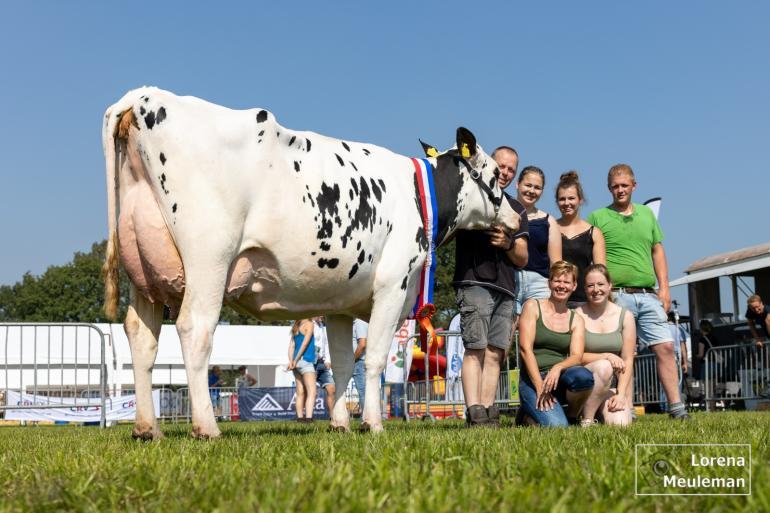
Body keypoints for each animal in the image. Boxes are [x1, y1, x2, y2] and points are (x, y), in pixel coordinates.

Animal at [102, 86, 516, 438]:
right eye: (497, 175)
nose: (517, 216)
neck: (418, 194)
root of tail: (145, 95)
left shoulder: (341, 304)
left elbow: (344, 363)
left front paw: (340, 423)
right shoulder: (393, 283)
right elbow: (374, 360)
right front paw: (372, 424)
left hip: (143, 268)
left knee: (141, 337)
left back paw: (146, 428)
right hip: (210, 258)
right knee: (194, 328)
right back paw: (206, 426)